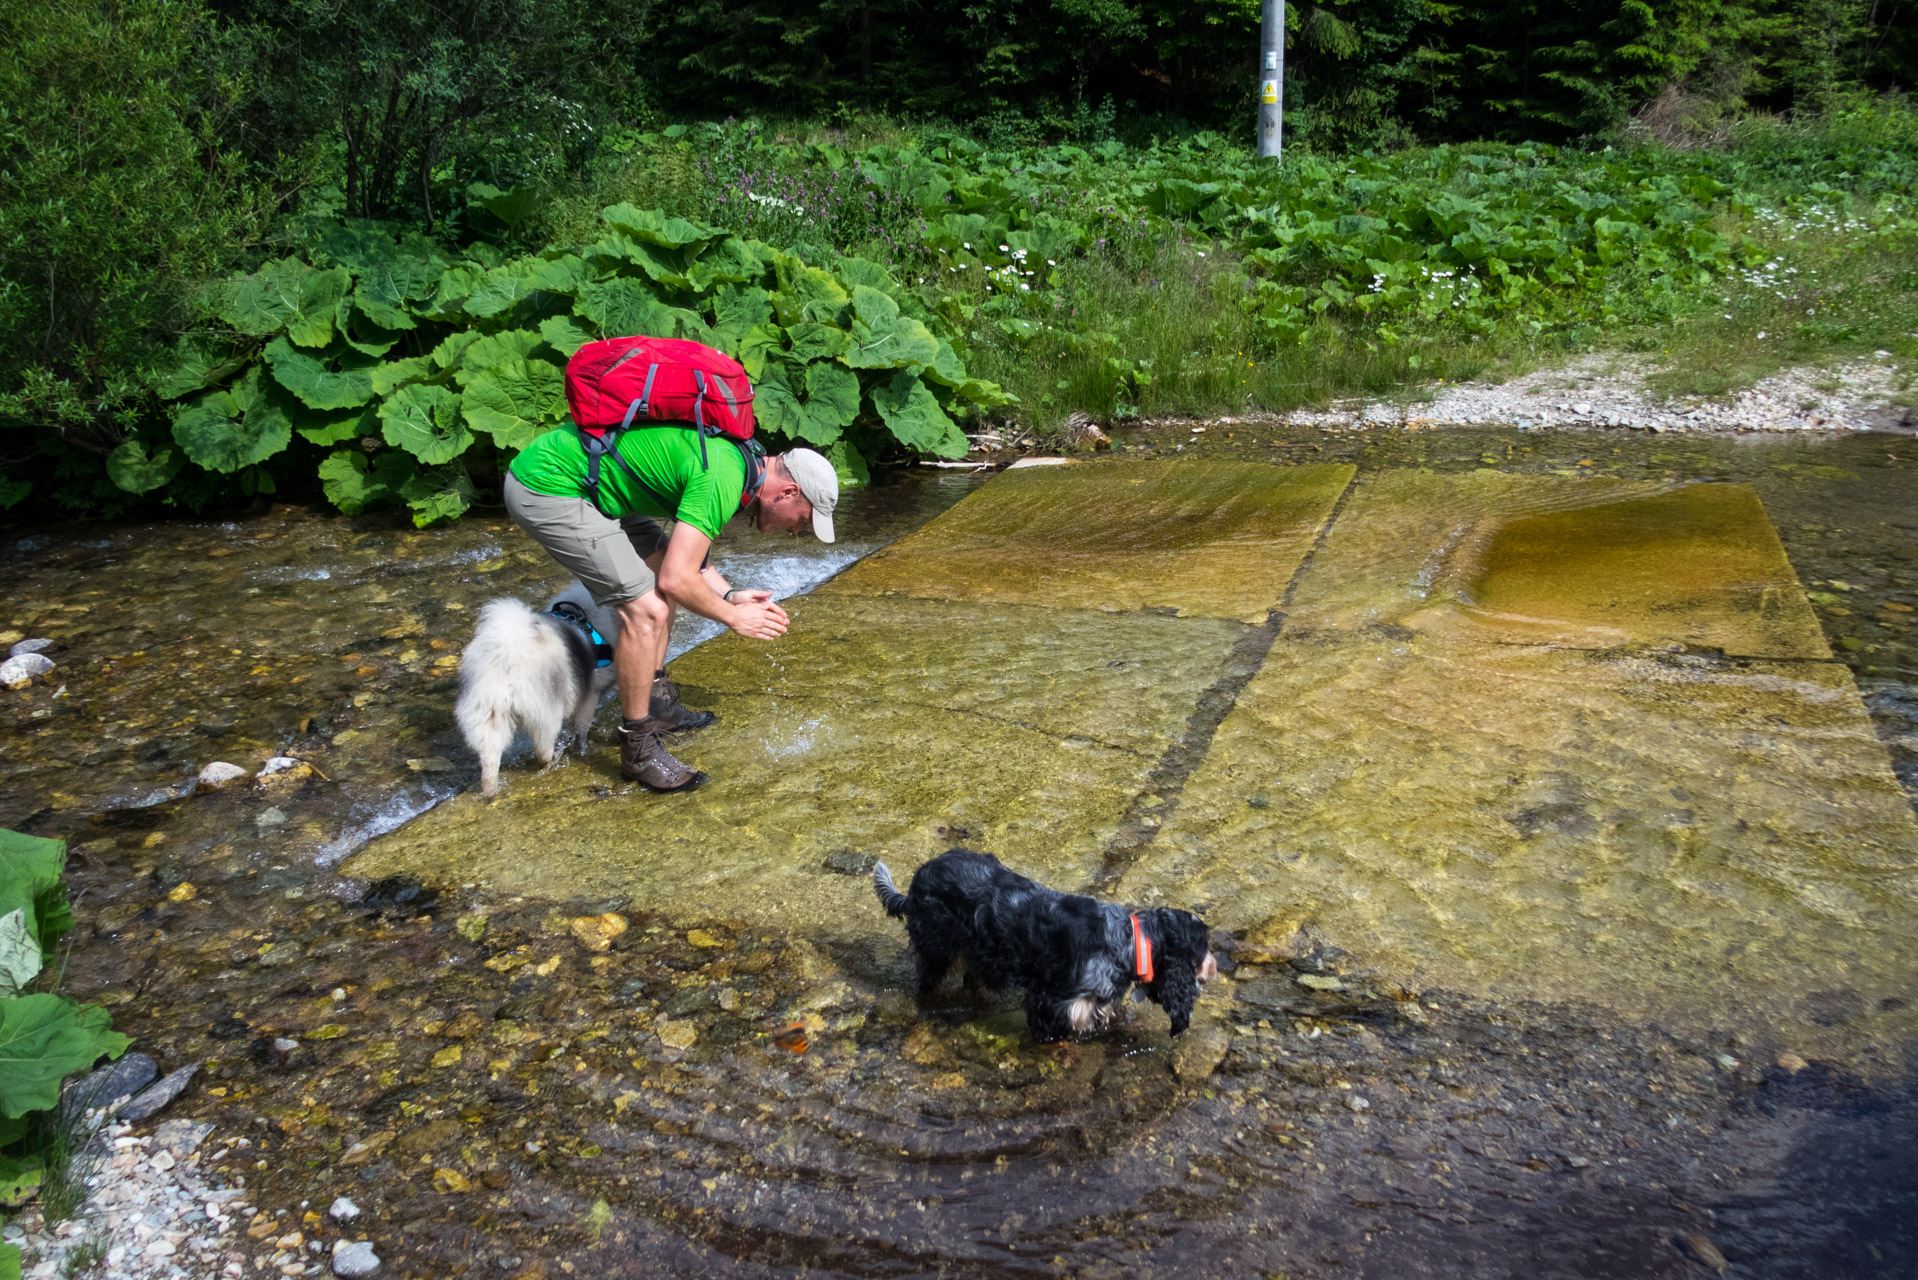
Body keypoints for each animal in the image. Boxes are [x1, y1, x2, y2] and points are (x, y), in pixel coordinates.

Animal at [452, 587, 609, 794]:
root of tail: (506, 656)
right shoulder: (590, 695)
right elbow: (580, 730)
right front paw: (580, 750)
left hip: (488, 716)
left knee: (489, 763)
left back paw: (490, 791)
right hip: (546, 715)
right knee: (543, 751)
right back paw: (552, 761)